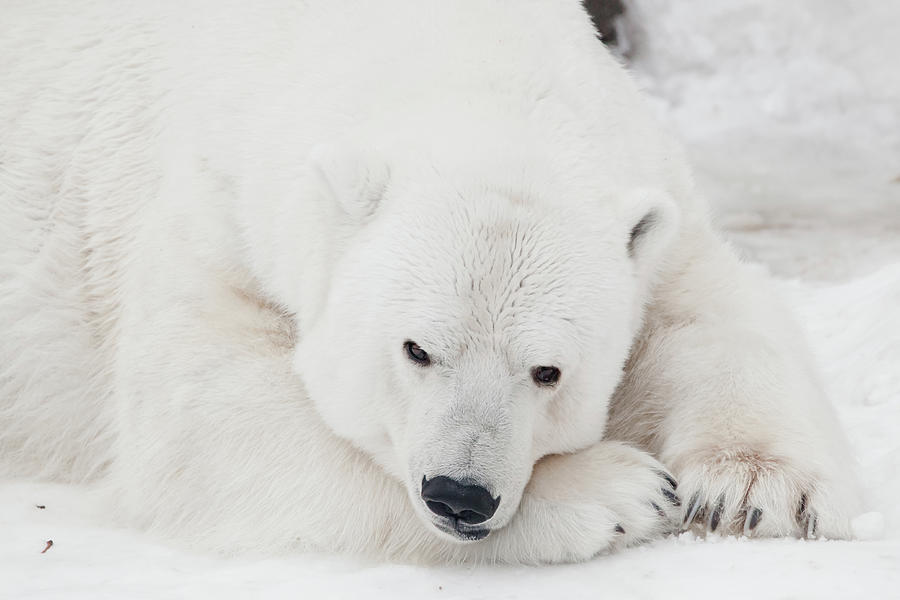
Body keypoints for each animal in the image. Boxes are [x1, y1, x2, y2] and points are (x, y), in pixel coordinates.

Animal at [0, 0, 856, 564]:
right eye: (415, 349)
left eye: (548, 370)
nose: (460, 496)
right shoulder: (213, 204)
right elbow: (202, 409)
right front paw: (618, 491)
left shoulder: (649, 188)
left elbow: (706, 305)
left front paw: (751, 487)